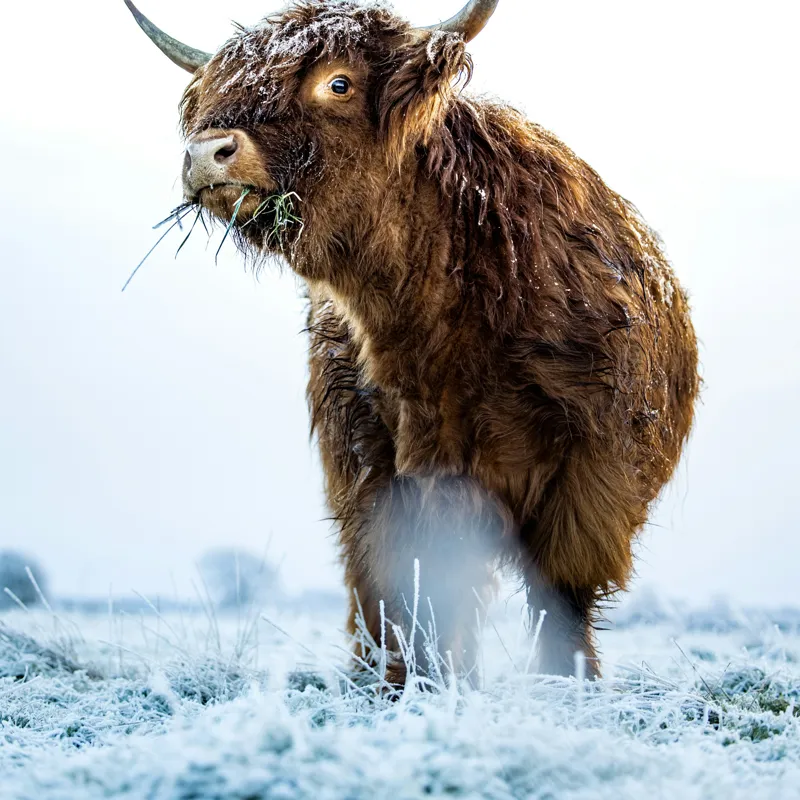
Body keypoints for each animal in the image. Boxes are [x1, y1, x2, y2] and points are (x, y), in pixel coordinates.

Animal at [123, 0, 700, 684]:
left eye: (338, 84)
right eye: (213, 92)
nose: (208, 153)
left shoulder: (591, 476)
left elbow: (559, 594)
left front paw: (564, 685)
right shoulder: (377, 468)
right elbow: (402, 588)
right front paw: (408, 686)